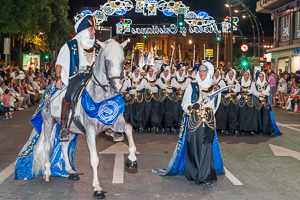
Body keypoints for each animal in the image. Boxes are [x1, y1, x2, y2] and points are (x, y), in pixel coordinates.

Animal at [40, 39, 138, 198]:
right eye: (107, 61)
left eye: (123, 61)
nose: (117, 86)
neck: (100, 97)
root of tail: (48, 89)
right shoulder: (90, 131)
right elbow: (94, 159)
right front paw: (97, 188)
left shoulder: (115, 122)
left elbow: (129, 129)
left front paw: (132, 160)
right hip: (48, 121)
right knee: (47, 144)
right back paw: (47, 173)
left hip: (70, 129)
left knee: (64, 144)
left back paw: (71, 171)